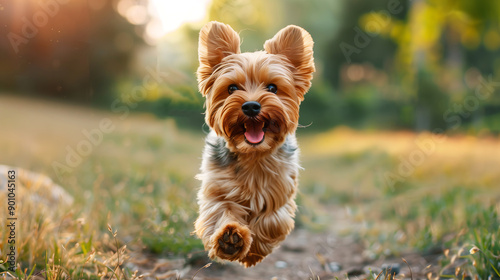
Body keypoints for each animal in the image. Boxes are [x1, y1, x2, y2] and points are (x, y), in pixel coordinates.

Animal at [193, 21, 314, 266]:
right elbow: (220, 211)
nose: (250, 106)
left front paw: (253, 251)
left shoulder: (280, 189)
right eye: (231, 88)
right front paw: (230, 239)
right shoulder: (218, 188)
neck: (253, 154)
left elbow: (271, 220)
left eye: (272, 88)